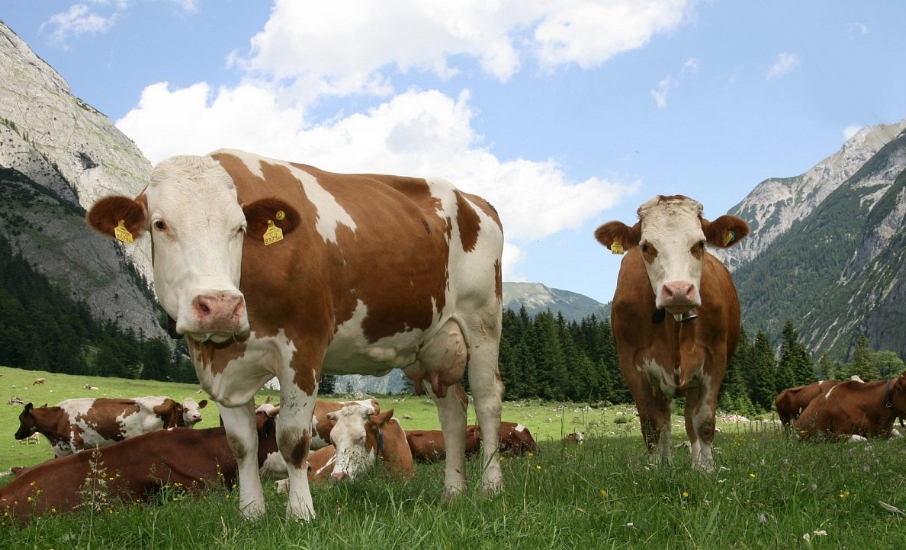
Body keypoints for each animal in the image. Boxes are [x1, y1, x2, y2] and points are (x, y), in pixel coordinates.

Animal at [86, 149, 505, 521]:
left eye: (239, 227)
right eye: (160, 224)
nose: (220, 305)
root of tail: (475, 200)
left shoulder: (303, 349)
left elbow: (291, 439)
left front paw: (301, 513)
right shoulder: (222, 365)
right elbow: (241, 444)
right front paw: (251, 514)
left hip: (483, 320)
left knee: (487, 400)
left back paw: (490, 486)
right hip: (435, 342)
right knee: (452, 410)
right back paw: (453, 492)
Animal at [594, 195, 749, 471]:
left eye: (700, 244)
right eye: (646, 246)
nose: (678, 291)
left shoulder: (715, 358)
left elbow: (703, 421)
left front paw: (707, 470)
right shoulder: (631, 362)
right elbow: (651, 423)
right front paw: (656, 470)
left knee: (689, 420)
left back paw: (697, 464)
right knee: (665, 419)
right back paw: (667, 462)